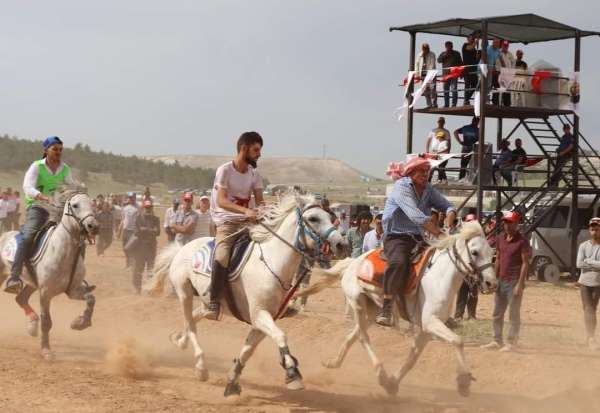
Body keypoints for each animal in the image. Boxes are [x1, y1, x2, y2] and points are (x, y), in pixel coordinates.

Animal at [0, 186, 98, 358]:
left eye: (92, 203)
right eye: (75, 205)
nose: (93, 226)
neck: (64, 251)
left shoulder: (73, 290)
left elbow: (91, 299)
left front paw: (80, 323)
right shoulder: (46, 293)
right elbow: (47, 321)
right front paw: (46, 350)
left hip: (32, 283)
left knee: (20, 298)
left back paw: (32, 326)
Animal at [144, 193, 346, 396]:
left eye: (331, 217)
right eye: (313, 218)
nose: (341, 245)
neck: (272, 264)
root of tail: (182, 249)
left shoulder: (264, 320)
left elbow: (248, 350)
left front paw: (232, 380)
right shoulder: (259, 315)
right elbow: (281, 336)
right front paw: (292, 372)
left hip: (206, 302)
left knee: (193, 317)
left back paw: (179, 340)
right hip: (184, 293)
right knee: (191, 324)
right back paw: (201, 367)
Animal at [300, 222, 496, 396]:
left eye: (492, 254)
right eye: (475, 252)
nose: (491, 283)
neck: (438, 278)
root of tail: (353, 262)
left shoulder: (427, 329)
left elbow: (412, 358)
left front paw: (393, 383)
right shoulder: (430, 322)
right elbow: (458, 341)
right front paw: (463, 382)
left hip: (372, 310)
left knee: (353, 335)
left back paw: (334, 363)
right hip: (357, 303)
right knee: (363, 337)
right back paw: (380, 373)